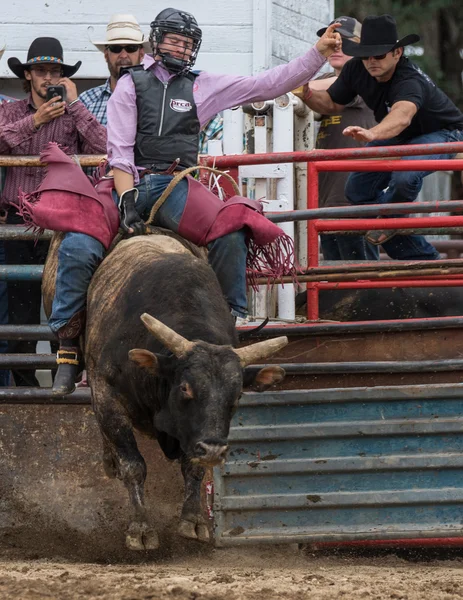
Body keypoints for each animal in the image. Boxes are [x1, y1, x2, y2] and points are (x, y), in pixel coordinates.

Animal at [44, 233, 290, 548]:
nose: (214, 449)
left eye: (236, 396)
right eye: (185, 388)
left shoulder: (193, 434)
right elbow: (133, 464)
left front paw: (193, 520)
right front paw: (140, 528)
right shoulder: (106, 393)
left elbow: (193, 467)